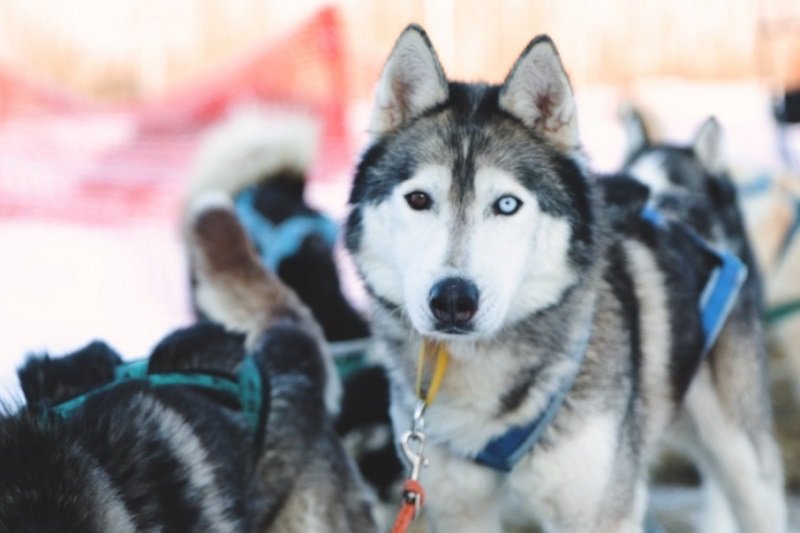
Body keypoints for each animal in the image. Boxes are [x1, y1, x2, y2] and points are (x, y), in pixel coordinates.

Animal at [346, 26, 788, 532]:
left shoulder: (601, 510)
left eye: (507, 204)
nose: (453, 299)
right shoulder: (456, 507)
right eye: (418, 199)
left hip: (742, 456)